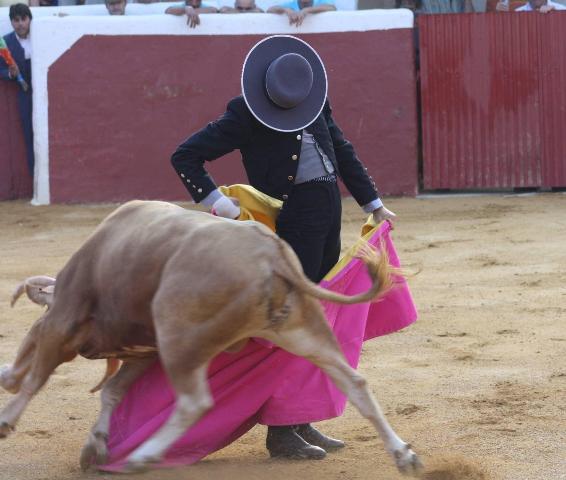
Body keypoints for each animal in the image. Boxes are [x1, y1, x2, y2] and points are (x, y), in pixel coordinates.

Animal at [1, 201, 422, 474]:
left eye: (34, 324)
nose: (7, 375)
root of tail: (271, 253)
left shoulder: (63, 323)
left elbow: (39, 379)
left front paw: (7, 419)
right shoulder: (144, 352)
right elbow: (112, 391)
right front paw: (95, 446)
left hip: (177, 333)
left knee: (195, 402)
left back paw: (143, 456)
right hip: (301, 329)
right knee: (354, 383)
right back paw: (404, 455)